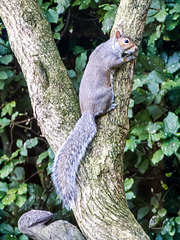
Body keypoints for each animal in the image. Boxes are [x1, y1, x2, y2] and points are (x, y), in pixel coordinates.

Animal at [52, 30, 138, 210]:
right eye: (126, 41)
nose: (136, 47)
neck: (110, 46)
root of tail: (87, 112)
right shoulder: (111, 59)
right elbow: (116, 63)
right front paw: (129, 57)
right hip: (108, 93)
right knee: (102, 112)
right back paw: (110, 107)